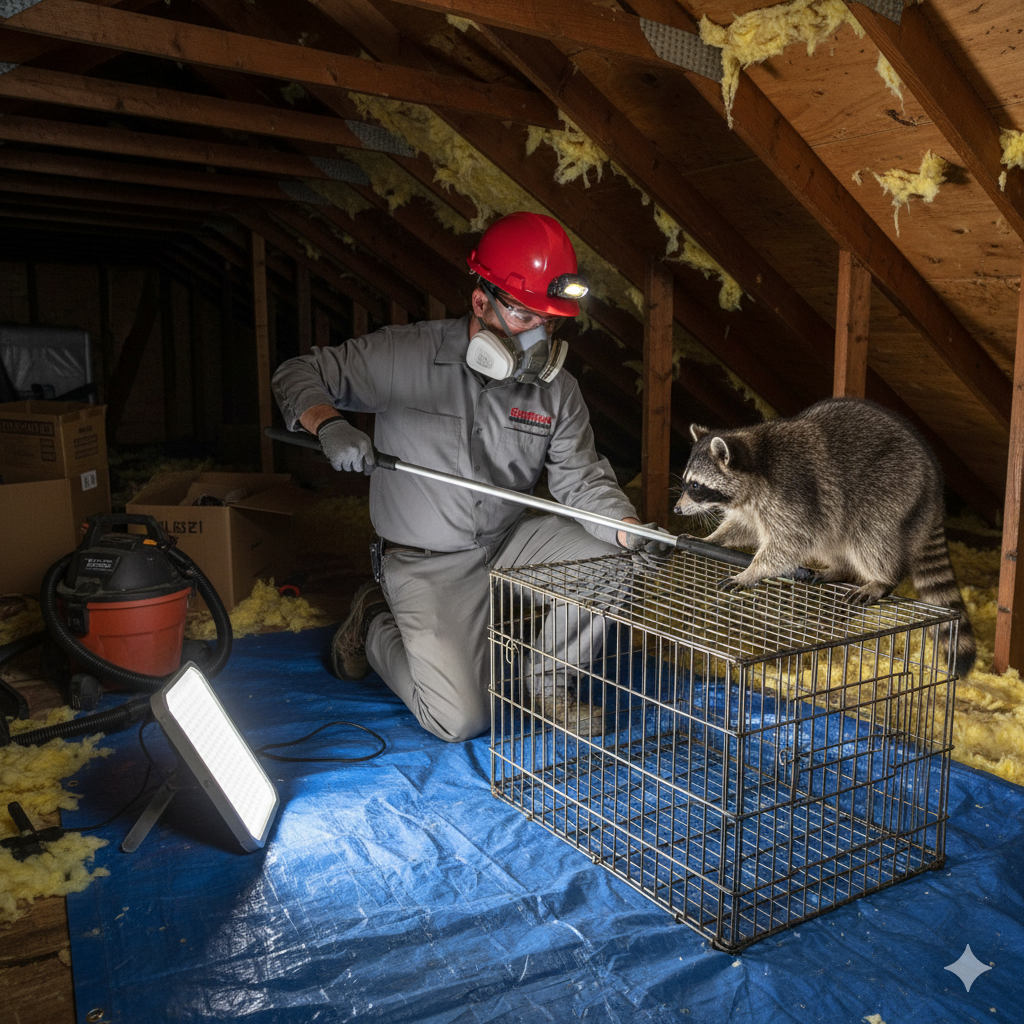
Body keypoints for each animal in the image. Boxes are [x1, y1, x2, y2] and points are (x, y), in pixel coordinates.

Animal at [674, 397, 976, 677]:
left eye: (695, 486)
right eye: (688, 483)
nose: (676, 509)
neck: (754, 465)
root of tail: (936, 491)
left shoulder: (790, 494)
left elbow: (790, 542)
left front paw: (752, 571)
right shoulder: (752, 506)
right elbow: (742, 527)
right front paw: (713, 538)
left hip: (893, 487)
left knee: (870, 534)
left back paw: (882, 578)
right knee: (831, 536)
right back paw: (840, 568)